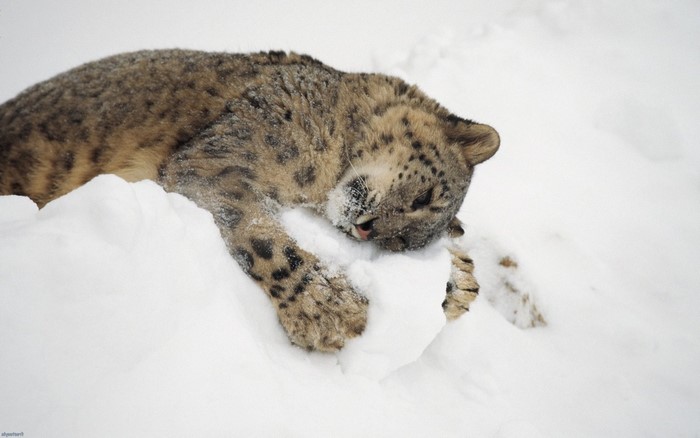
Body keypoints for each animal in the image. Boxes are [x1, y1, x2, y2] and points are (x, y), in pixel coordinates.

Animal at [0, 50, 499, 351]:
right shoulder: (217, 162)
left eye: (402, 245)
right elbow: (261, 236)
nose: (366, 229)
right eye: (426, 197)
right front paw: (331, 310)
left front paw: (457, 283)